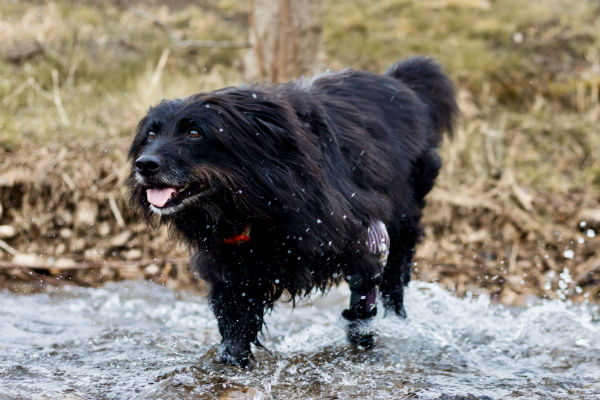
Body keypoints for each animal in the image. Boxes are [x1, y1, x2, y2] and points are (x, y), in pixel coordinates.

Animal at [129, 57, 458, 368]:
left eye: (194, 133)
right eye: (151, 135)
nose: (144, 165)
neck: (257, 204)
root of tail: (400, 82)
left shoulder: (362, 241)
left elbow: (360, 313)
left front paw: (362, 349)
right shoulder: (232, 274)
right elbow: (235, 330)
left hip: (405, 213)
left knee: (395, 276)